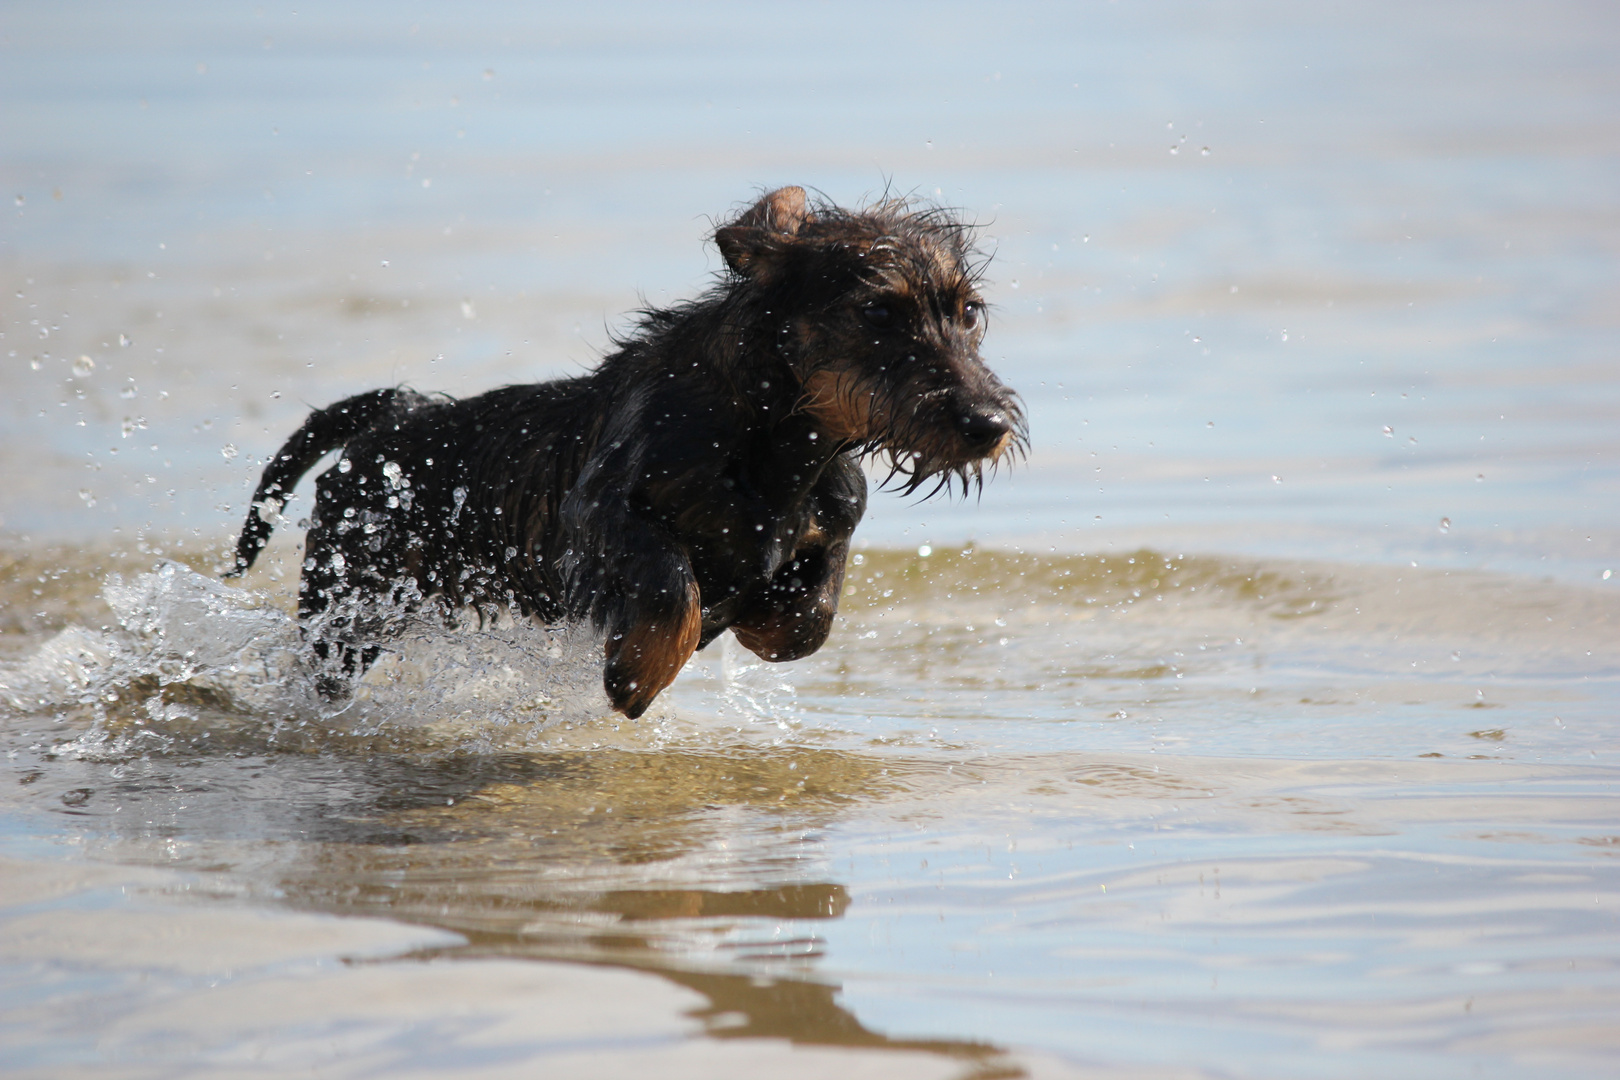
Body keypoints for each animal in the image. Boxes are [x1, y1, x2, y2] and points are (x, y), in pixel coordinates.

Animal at [228, 186, 1023, 718]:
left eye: (969, 311)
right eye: (877, 310)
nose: (987, 423)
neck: (773, 444)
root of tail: (405, 411)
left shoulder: (833, 522)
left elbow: (805, 621)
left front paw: (754, 614)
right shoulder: (598, 516)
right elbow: (671, 585)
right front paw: (638, 672)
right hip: (350, 601)